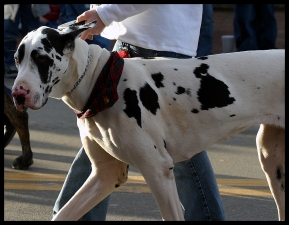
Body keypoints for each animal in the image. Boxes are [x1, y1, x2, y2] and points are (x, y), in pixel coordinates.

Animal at [10, 22, 284, 221]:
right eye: (16, 59)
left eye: (42, 58)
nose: (17, 94)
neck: (99, 80)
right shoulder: (105, 175)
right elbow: (66, 213)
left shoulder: (158, 171)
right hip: (271, 162)